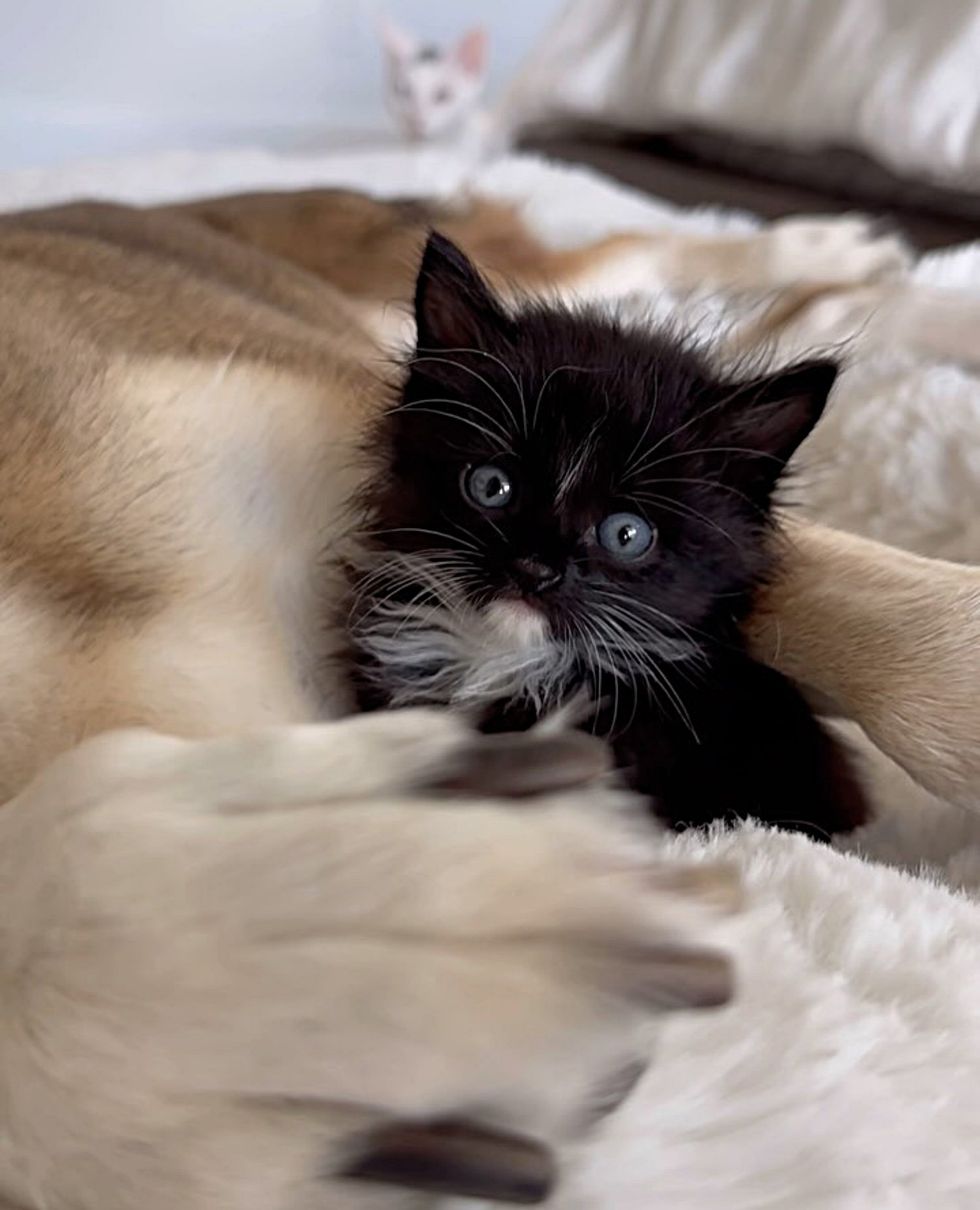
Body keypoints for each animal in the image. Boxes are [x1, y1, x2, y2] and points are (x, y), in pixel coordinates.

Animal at [0, 191, 972, 1210]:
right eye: (492, 486)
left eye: (626, 533)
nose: (538, 566)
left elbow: (850, 605)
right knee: (751, 321)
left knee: (646, 260)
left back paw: (841, 252)